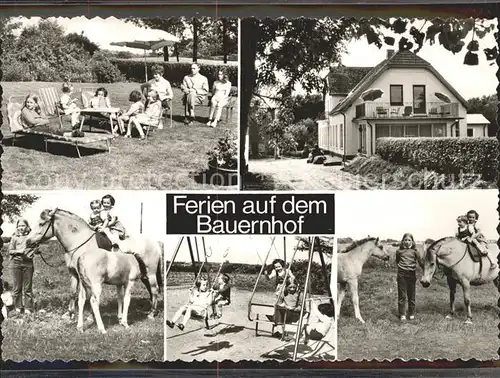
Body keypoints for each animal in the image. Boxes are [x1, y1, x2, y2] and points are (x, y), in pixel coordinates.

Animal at [26, 210, 163, 334]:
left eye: (41, 223)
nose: (28, 241)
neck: (78, 242)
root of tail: (156, 243)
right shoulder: (74, 274)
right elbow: (73, 293)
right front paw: (70, 315)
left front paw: (90, 317)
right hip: (144, 275)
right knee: (150, 290)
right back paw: (151, 310)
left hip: (150, 273)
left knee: (154, 289)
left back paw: (152, 313)